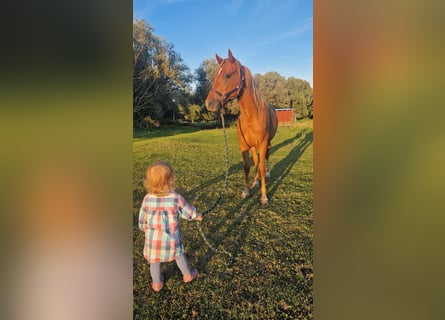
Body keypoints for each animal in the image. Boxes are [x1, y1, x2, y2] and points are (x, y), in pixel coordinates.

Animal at [206, 50, 276, 205]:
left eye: (227, 75)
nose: (209, 103)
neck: (251, 116)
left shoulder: (262, 143)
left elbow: (261, 167)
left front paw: (264, 196)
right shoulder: (244, 145)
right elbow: (247, 166)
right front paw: (246, 191)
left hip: (267, 143)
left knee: (265, 158)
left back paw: (268, 174)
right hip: (253, 146)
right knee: (256, 161)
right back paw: (256, 182)